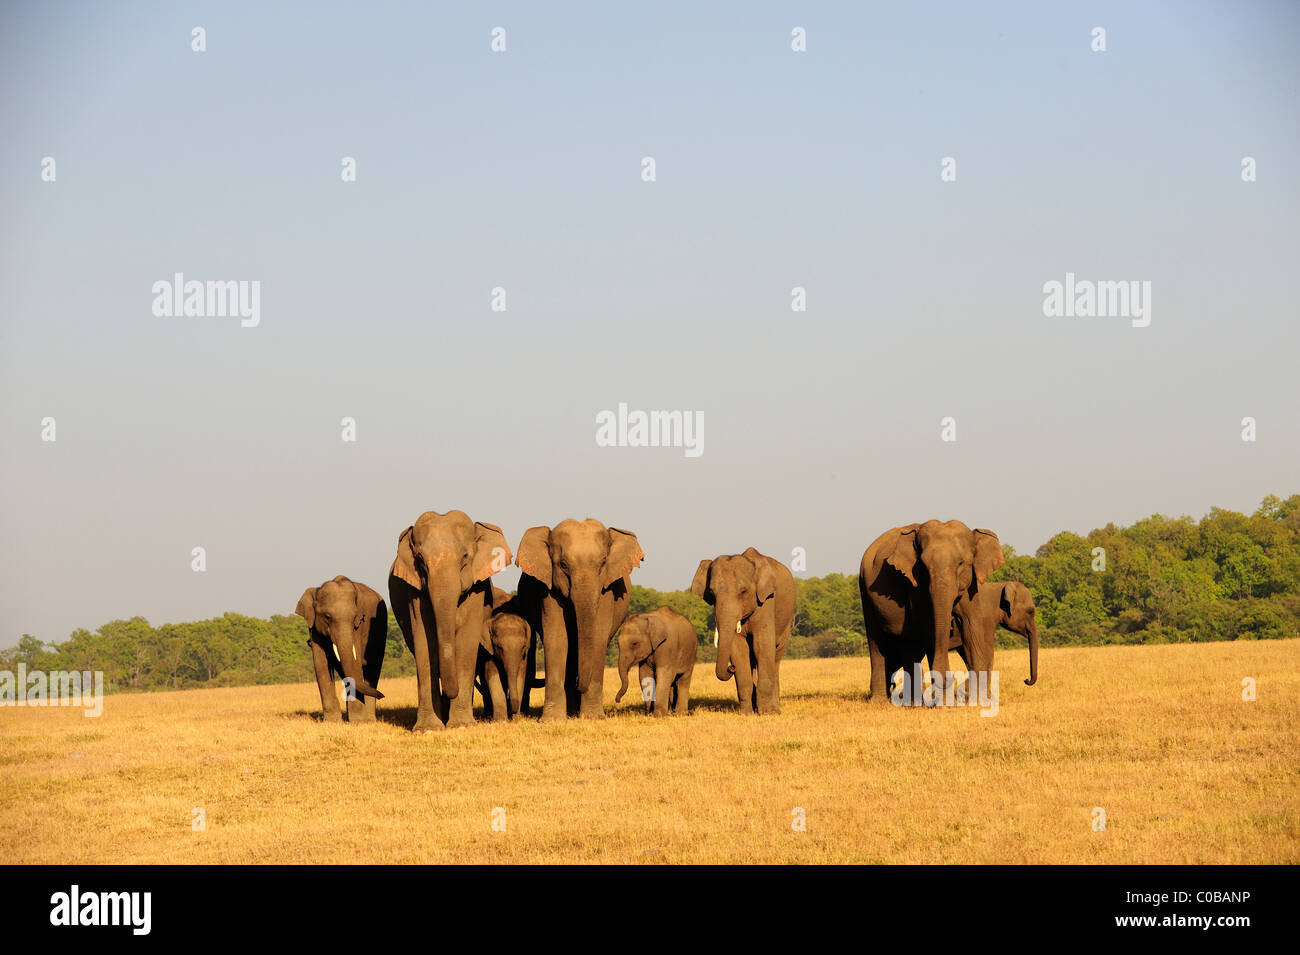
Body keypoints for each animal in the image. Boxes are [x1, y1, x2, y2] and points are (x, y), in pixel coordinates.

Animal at [297, 574, 387, 722]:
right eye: (327, 617)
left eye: (355, 616)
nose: (382, 695)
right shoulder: (314, 628)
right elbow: (321, 664)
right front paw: (332, 722)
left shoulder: (358, 627)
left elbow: (355, 663)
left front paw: (358, 722)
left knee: (373, 667)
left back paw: (368, 719)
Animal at [384, 514, 512, 732]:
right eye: (420, 559)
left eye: (465, 556)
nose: (451, 692)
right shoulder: (415, 591)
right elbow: (424, 642)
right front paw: (428, 729)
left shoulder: (477, 588)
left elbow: (466, 643)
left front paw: (461, 725)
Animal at [512, 519, 644, 722]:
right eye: (563, 565)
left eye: (603, 563)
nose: (578, 684)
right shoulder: (549, 588)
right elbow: (557, 638)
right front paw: (551, 721)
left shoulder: (607, 590)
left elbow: (598, 638)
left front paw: (593, 718)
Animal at [691, 548, 790, 712]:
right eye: (712, 592)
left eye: (743, 592)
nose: (731, 667)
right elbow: (738, 647)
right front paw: (746, 713)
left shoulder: (766, 601)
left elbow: (761, 644)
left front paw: (769, 713)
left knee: (775, 656)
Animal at [857, 522, 1008, 701]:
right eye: (923, 566)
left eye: (961, 563)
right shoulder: (914, 585)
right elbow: (929, 628)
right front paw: (944, 701)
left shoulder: (972, 586)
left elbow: (971, 626)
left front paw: (978, 701)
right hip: (865, 589)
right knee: (878, 641)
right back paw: (884, 701)